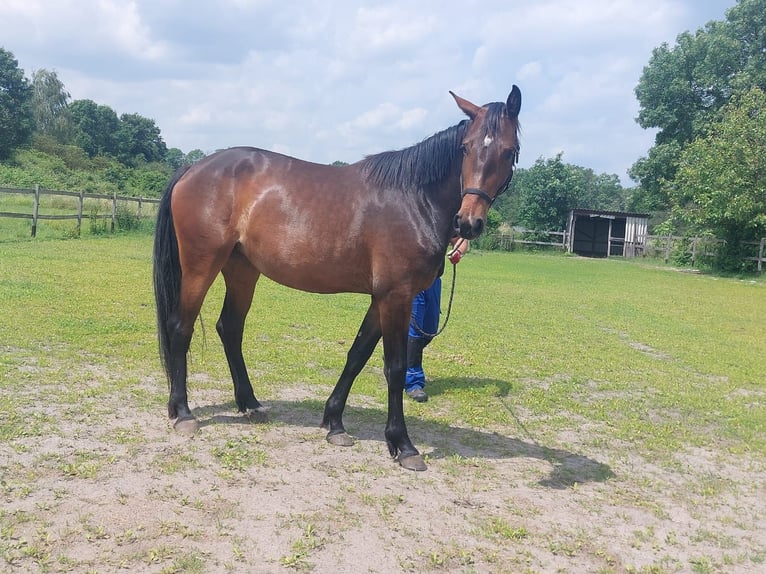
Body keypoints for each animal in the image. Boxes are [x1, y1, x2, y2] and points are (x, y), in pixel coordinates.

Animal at [152, 86, 520, 472]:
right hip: (201, 266)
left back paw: (250, 404)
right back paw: (183, 412)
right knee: (181, 328)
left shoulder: (380, 298)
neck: (414, 199)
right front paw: (402, 444)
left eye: (508, 151)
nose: (468, 223)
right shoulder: (397, 297)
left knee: (230, 329)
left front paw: (334, 423)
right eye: (466, 147)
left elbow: (357, 354)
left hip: (242, 271)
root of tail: (194, 167)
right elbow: (394, 367)